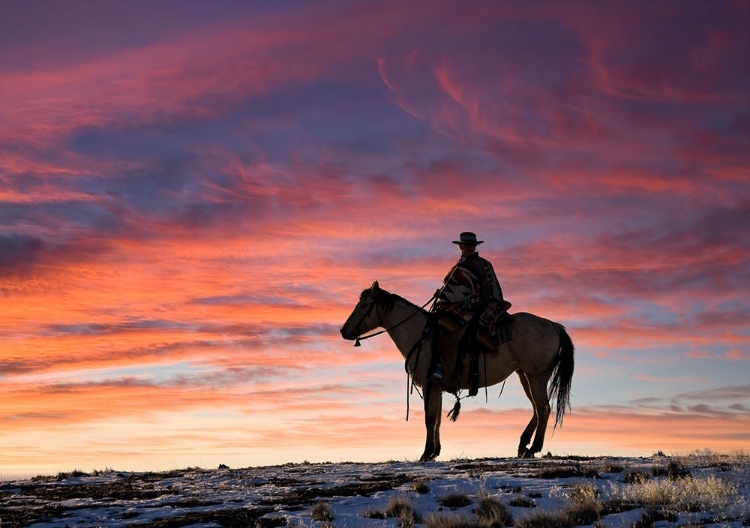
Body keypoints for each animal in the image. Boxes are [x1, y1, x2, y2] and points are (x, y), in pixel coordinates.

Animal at [340, 282, 576, 460]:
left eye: (364, 304)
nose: (343, 331)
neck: (420, 335)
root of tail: (554, 326)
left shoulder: (430, 384)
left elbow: (429, 418)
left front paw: (426, 453)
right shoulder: (436, 386)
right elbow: (437, 419)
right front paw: (435, 451)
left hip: (536, 376)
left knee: (543, 408)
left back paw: (533, 447)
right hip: (524, 375)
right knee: (537, 408)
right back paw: (523, 445)